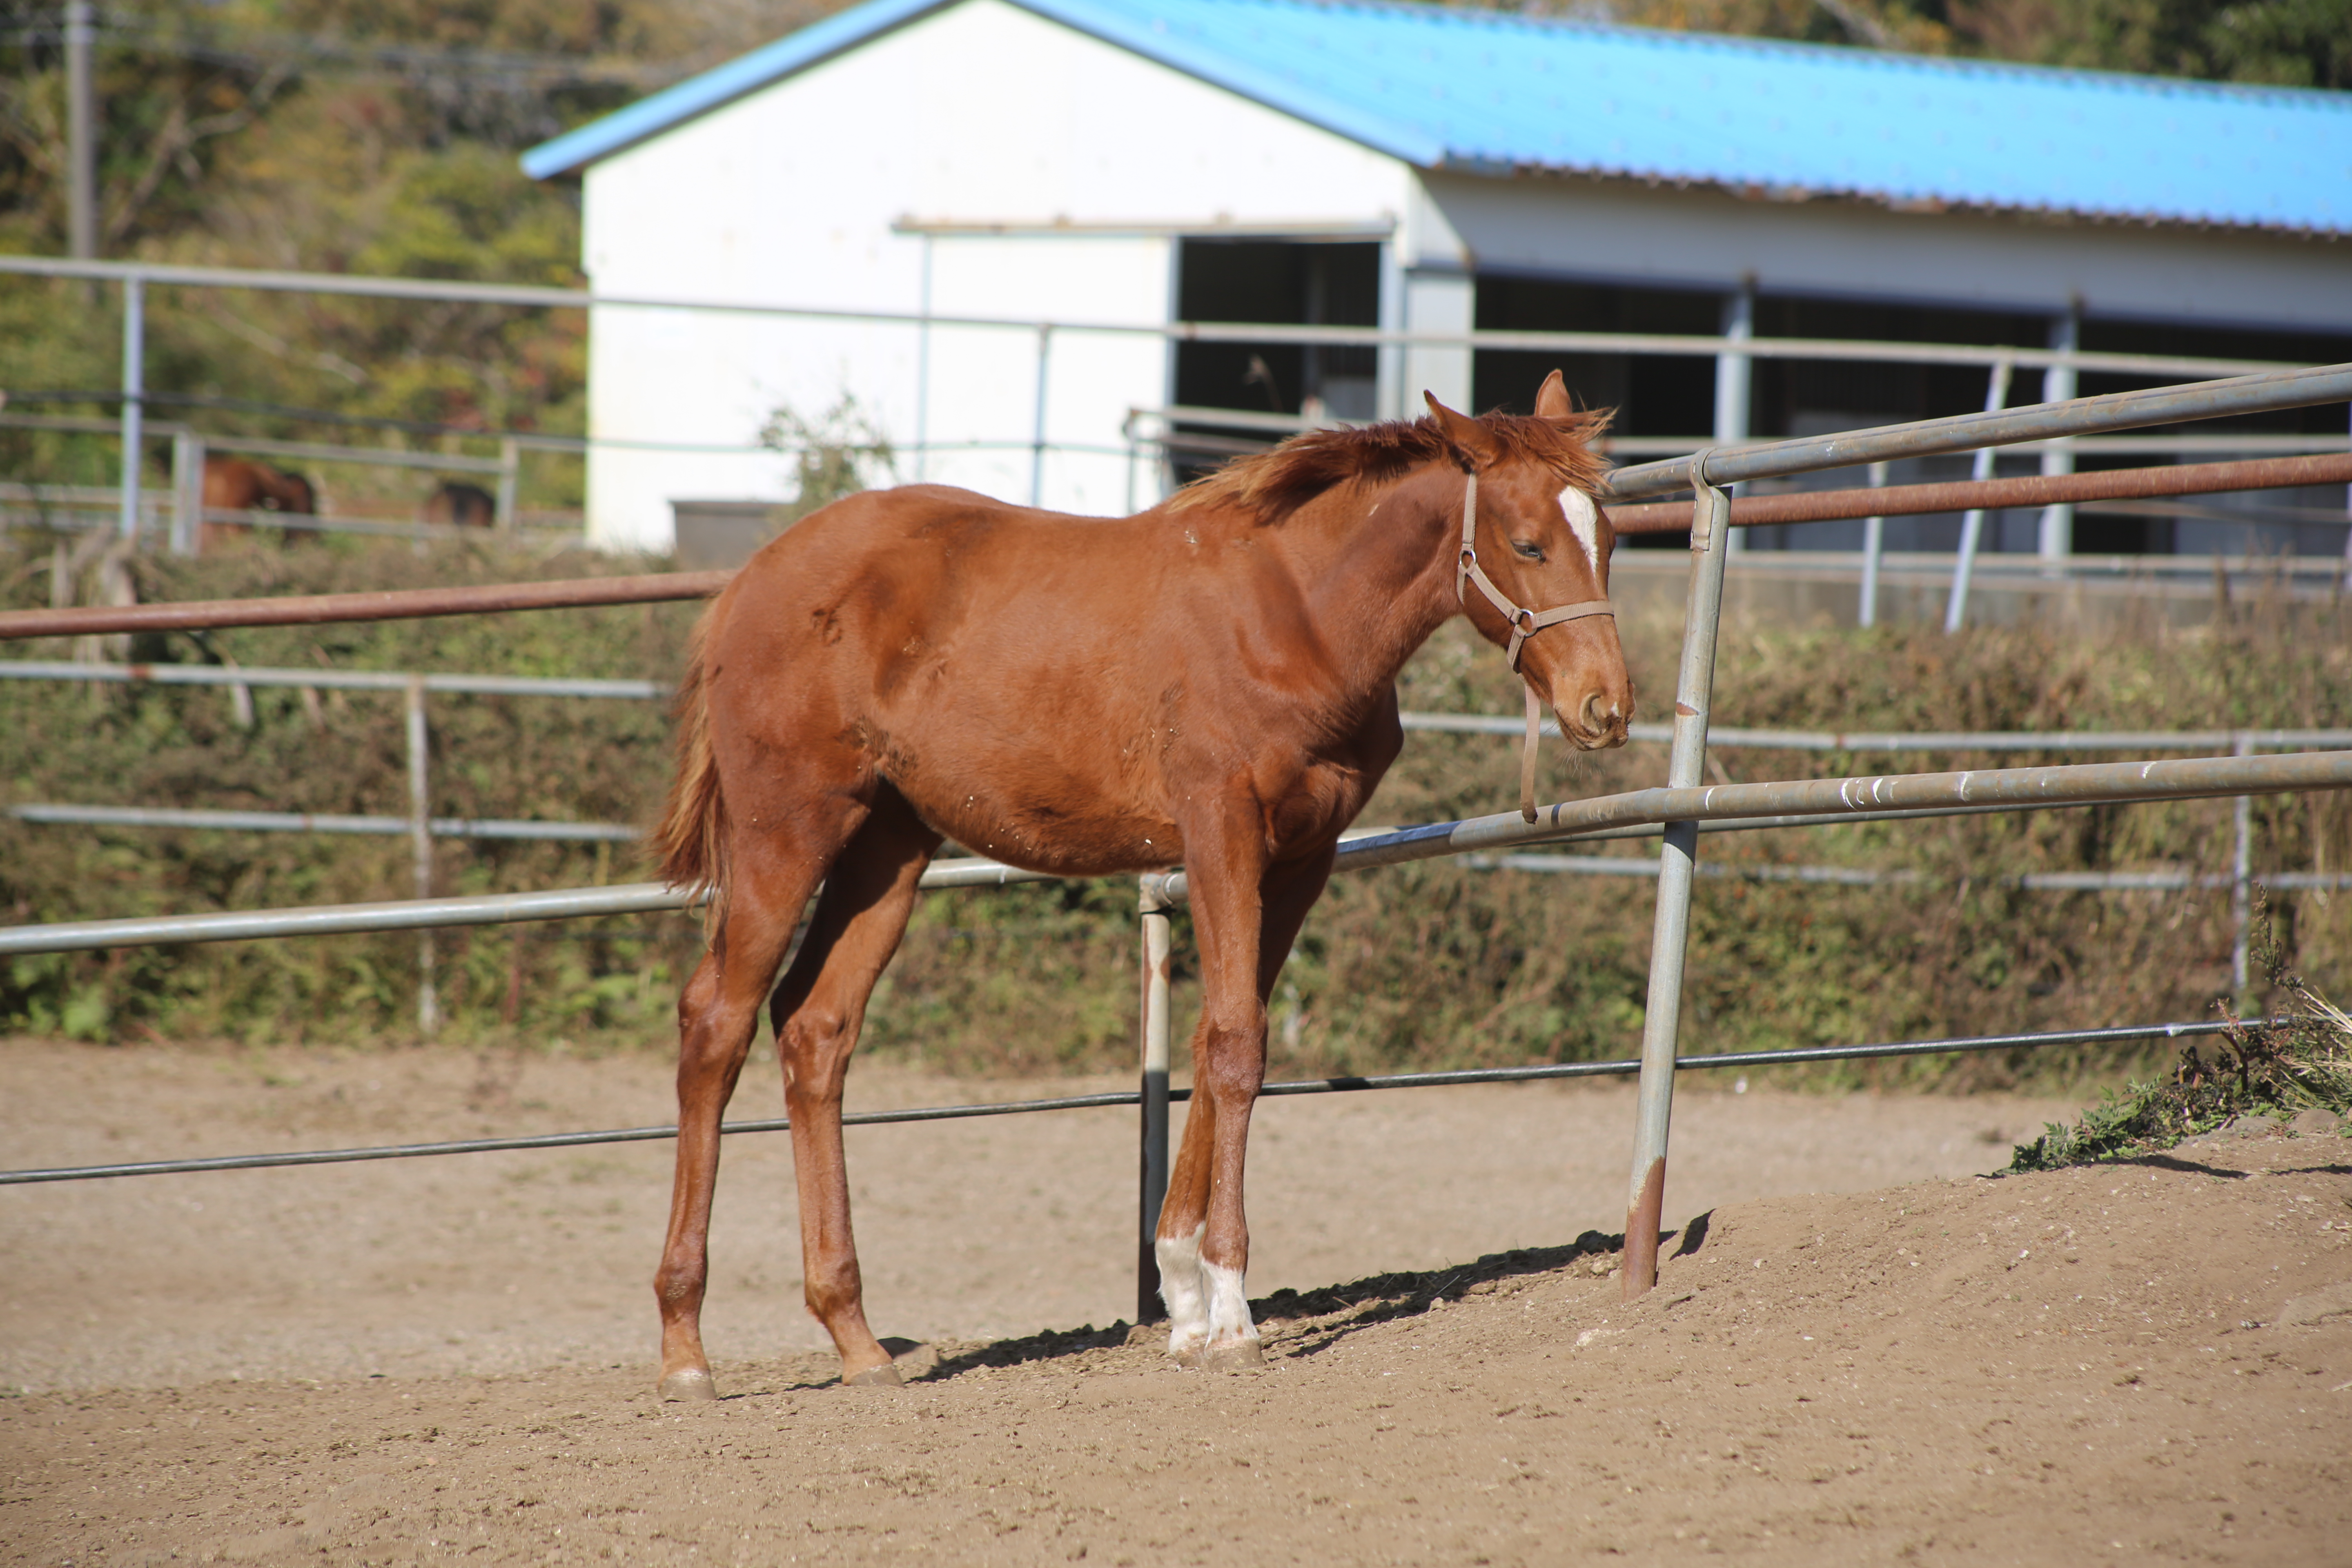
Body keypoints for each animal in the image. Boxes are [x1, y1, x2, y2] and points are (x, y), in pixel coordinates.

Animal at [649, 376, 1637, 1401]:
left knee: (814, 1031)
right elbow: (1237, 1045)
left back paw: (856, 1338)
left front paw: (1185, 1302)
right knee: (715, 1025)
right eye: (1527, 542)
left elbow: (1215, 1037)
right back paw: (685, 1349)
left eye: (1608, 537)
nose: (1604, 707)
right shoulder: (1219, 833)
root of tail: (746, 582)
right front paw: (1232, 1316)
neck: (1293, 614)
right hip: (787, 831)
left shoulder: (1301, 857)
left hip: (887, 848)